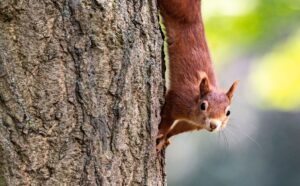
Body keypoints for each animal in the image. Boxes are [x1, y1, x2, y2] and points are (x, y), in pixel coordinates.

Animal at [157, 0, 239, 151]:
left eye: (228, 112)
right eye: (203, 106)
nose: (213, 125)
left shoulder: (192, 124)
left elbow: (178, 128)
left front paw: (166, 137)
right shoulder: (177, 100)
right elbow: (166, 118)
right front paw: (161, 133)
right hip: (178, 7)